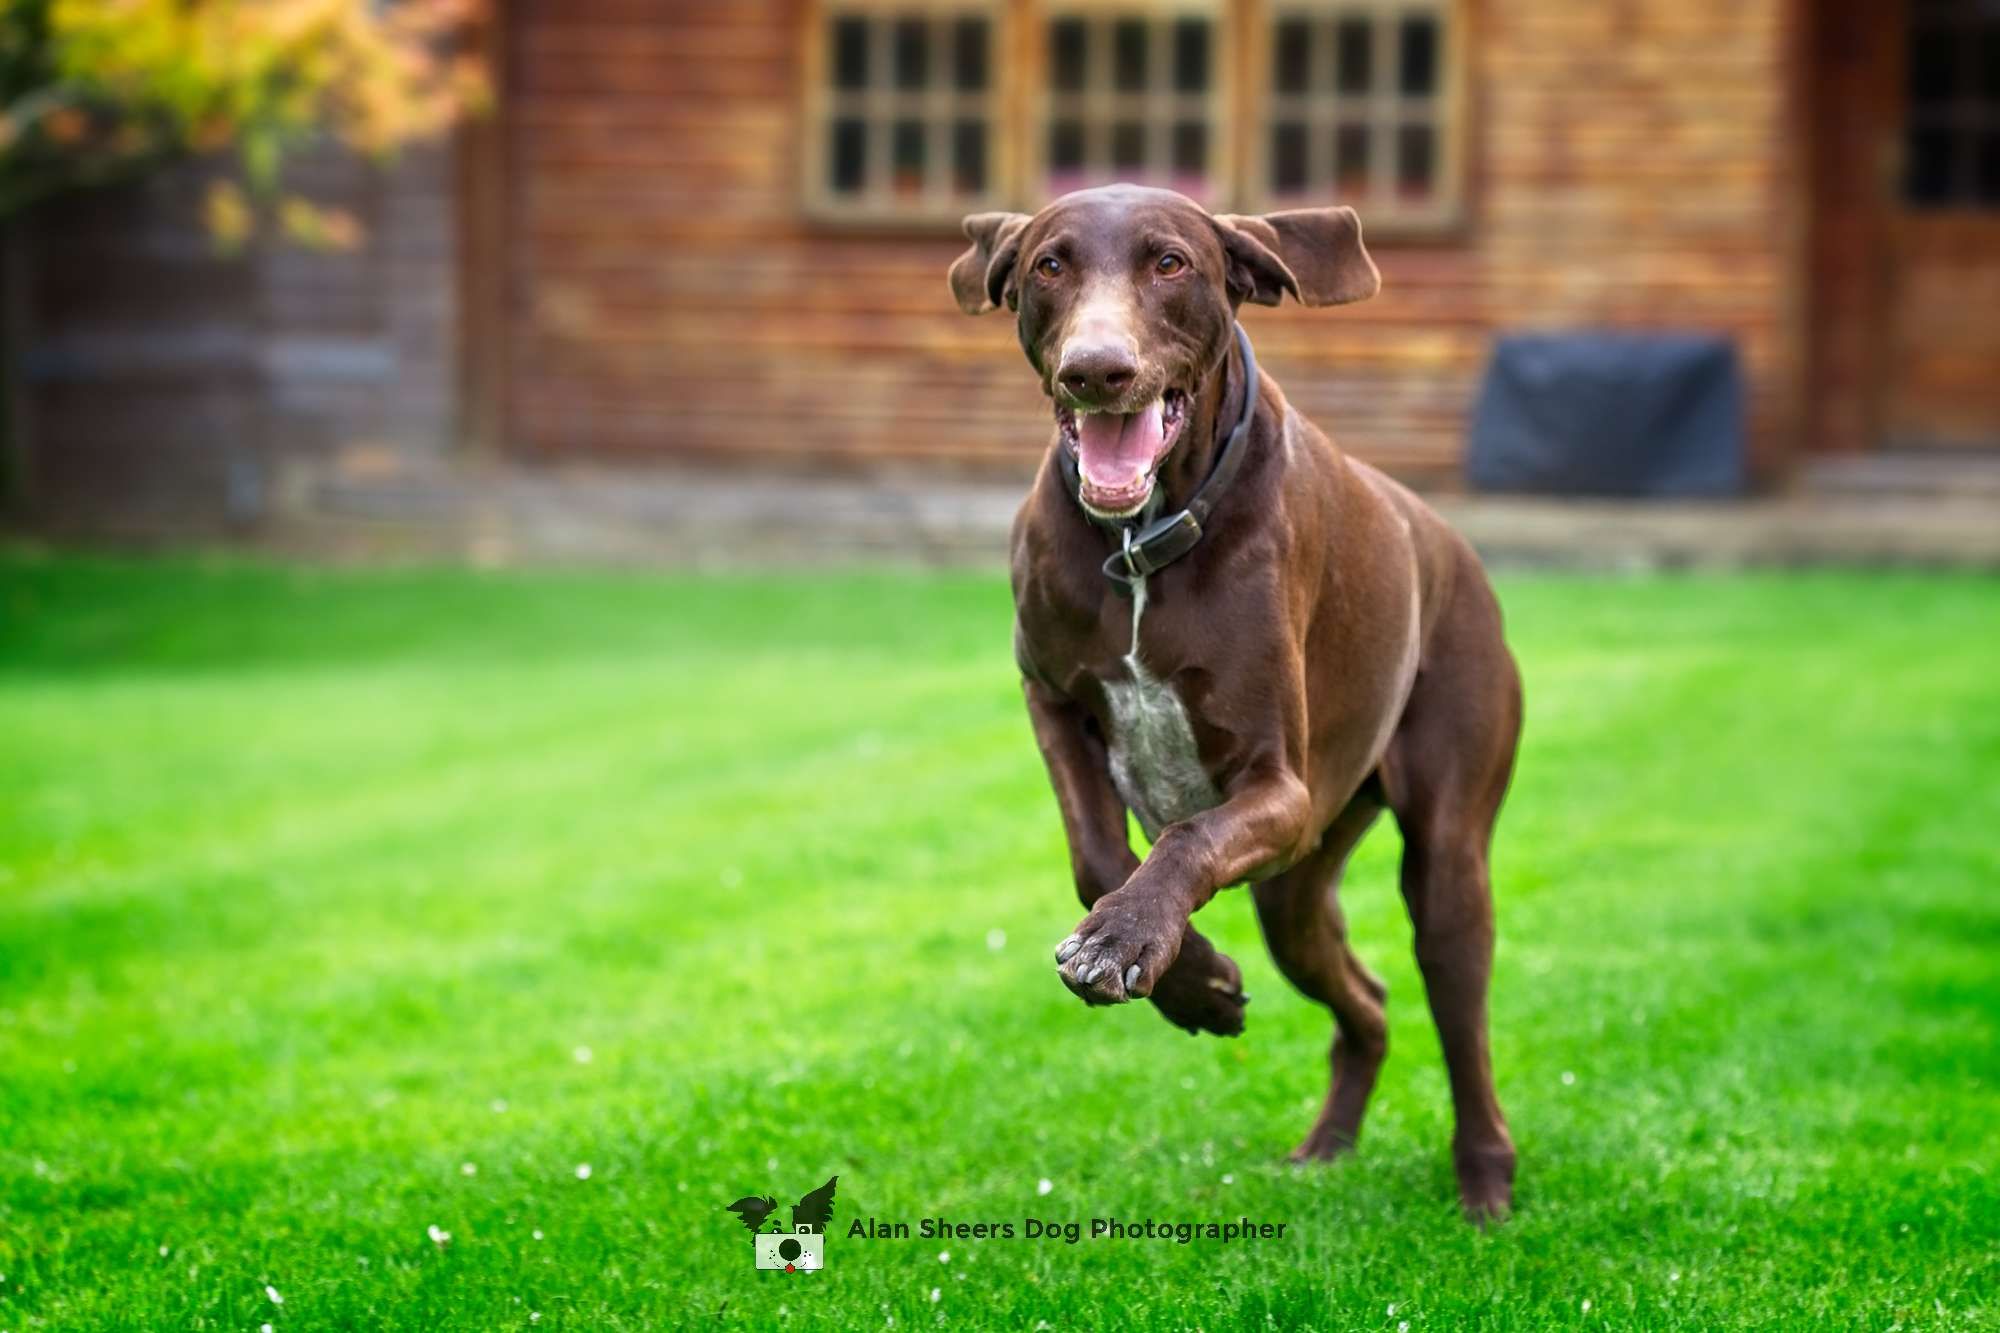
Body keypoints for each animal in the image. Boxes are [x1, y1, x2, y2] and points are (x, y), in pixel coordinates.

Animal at [944, 184, 1520, 1216]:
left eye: (1171, 263)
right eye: (1050, 264)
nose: (1097, 370)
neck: (1139, 543)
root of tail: (1459, 553)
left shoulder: (1276, 790)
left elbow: (1183, 838)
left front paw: (1131, 937)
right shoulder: (1049, 698)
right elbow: (1097, 853)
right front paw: (1194, 978)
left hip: (1443, 858)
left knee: (1461, 1016)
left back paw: (1486, 1179)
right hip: (1296, 893)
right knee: (1366, 1002)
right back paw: (1328, 1142)